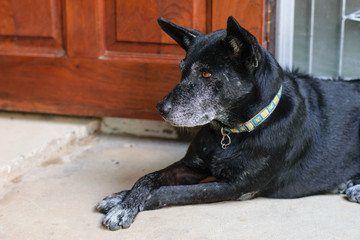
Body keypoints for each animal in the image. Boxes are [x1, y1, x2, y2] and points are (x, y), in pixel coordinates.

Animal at [96, 15, 360, 230]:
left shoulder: (236, 187)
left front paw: (124, 206)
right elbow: (148, 177)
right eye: (181, 70)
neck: (231, 133)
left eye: (205, 74)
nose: (160, 109)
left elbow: (169, 192)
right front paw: (123, 199)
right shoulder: (192, 165)